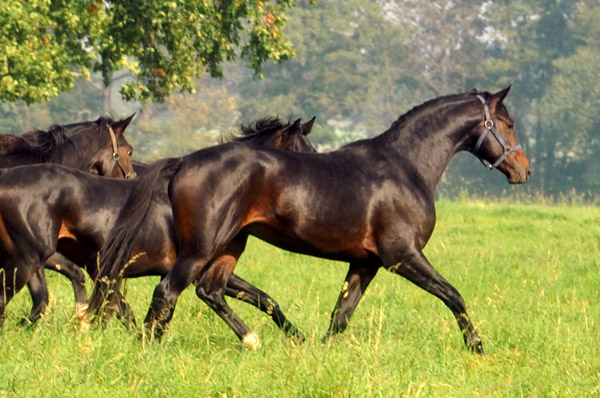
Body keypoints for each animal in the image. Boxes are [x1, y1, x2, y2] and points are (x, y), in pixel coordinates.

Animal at [90, 88, 528, 354]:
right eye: (507, 124)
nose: (524, 169)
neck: (405, 166)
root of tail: (183, 162)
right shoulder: (402, 256)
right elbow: (454, 295)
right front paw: (477, 347)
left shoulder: (366, 263)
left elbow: (341, 315)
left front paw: (319, 350)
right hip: (200, 250)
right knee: (168, 292)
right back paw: (150, 347)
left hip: (230, 247)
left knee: (209, 292)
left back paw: (252, 340)